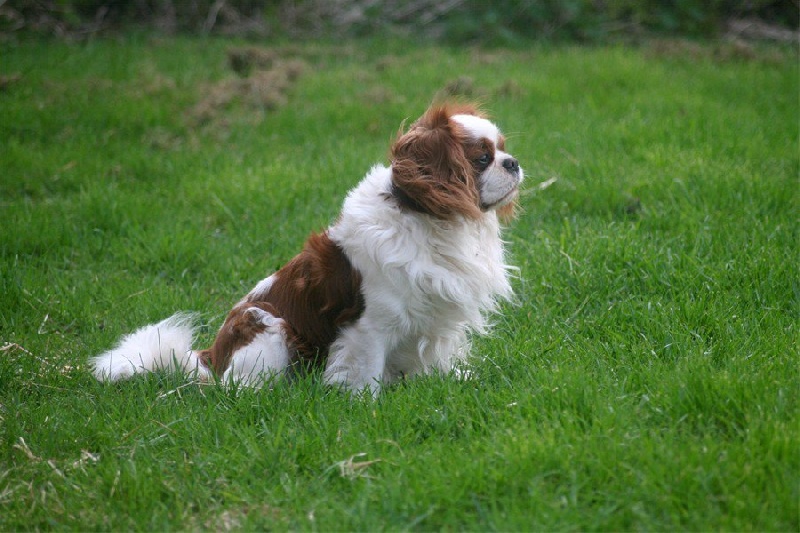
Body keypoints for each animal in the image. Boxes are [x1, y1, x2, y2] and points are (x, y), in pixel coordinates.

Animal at [89, 101, 524, 390]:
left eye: (503, 149)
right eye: (482, 159)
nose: (513, 162)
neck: (432, 220)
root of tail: (212, 357)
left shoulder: (434, 316)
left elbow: (432, 356)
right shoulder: (370, 325)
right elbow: (364, 371)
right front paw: (364, 404)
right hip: (269, 324)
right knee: (236, 389)